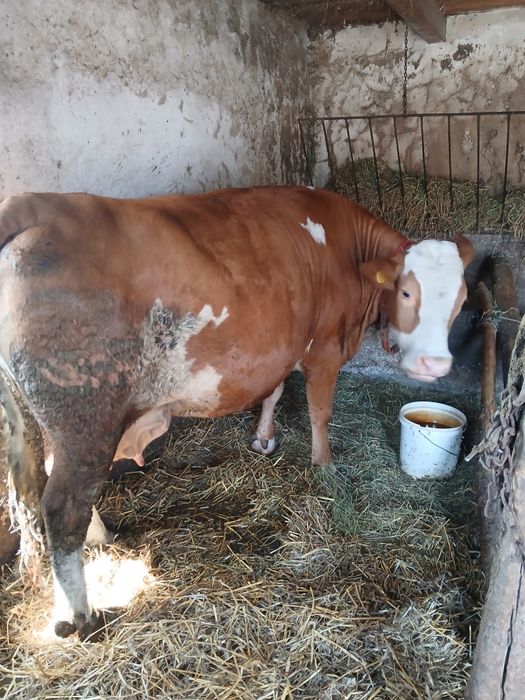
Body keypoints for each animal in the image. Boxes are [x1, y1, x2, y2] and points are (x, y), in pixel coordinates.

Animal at [0, 186, 474, 639]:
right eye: (407, 291)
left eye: (461, 299)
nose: (435, 365)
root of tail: (36, 203)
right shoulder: (324, 348)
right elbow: (319, 411)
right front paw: (324, 466)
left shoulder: (281, 347)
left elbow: (275, 390)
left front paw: (264, 436)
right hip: (86, 418)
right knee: (63, 506)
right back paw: (80, 617)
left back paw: (102, 540)